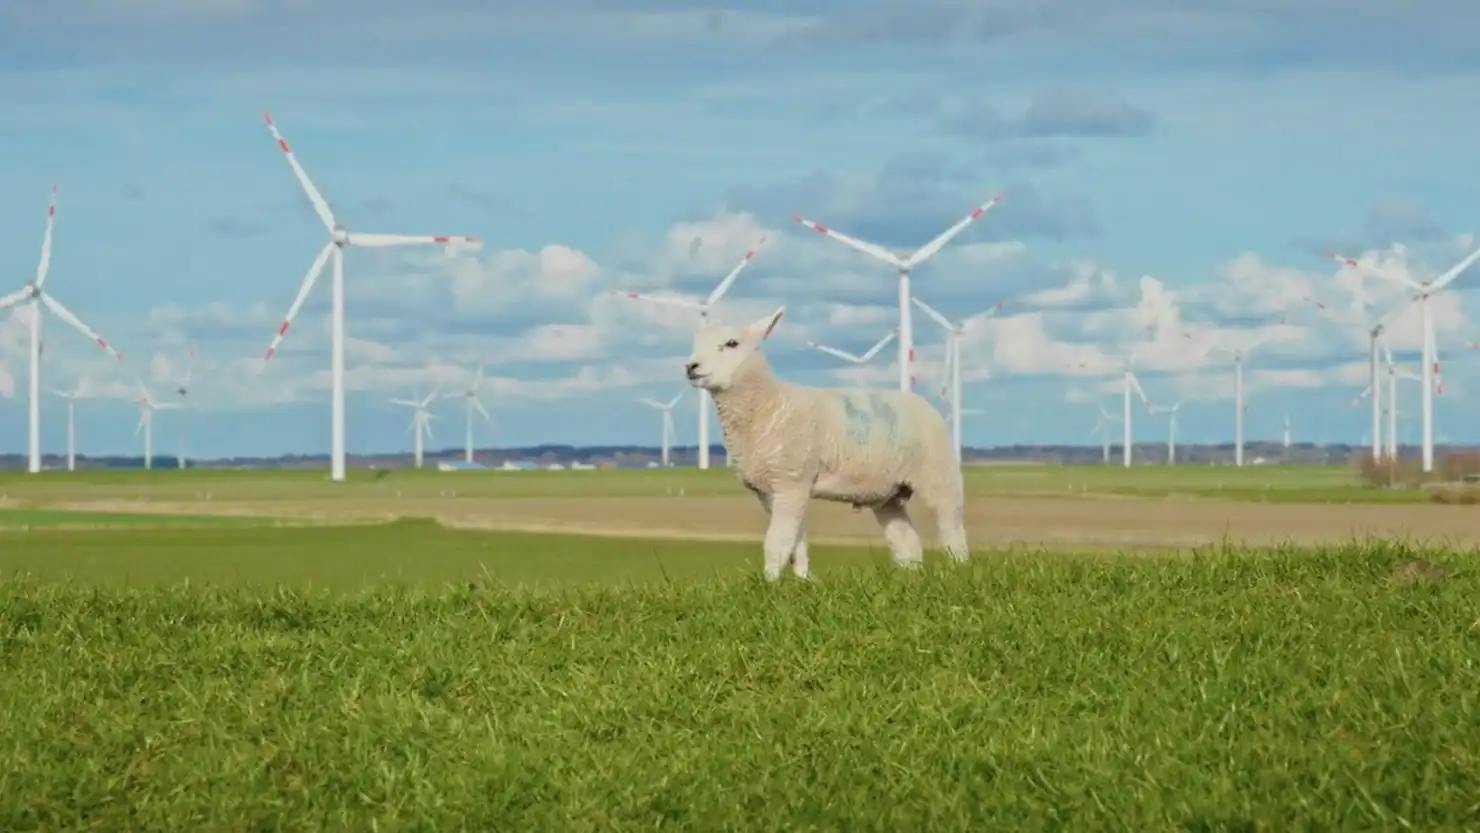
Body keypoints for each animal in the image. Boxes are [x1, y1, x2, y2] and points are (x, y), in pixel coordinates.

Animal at [684, 305, 968, 581]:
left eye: (731, 343)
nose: (690, 366)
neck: (768, 404)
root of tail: (924, 404)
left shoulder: (792, 481)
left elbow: (777, 541)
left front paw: (770, 583)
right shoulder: (769, 490)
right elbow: (797, 543)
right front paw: (802, 581)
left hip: (938, 473)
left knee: (952, 530)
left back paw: (958, 572)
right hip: (887, 492)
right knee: (906, 541)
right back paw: (908, 579)